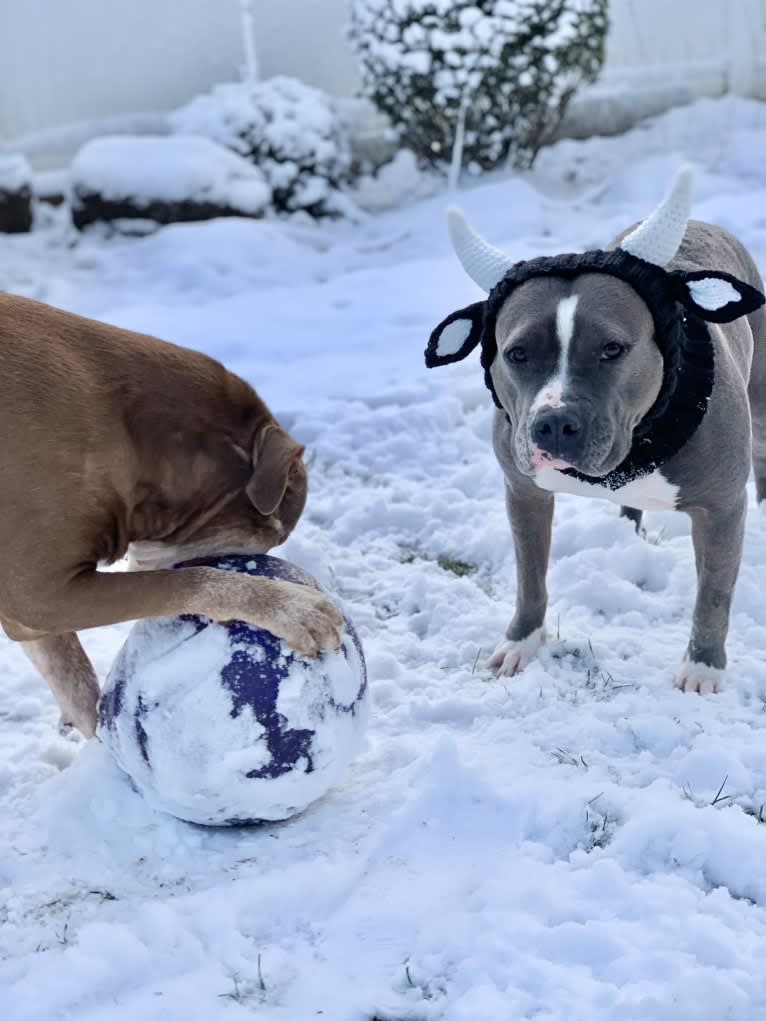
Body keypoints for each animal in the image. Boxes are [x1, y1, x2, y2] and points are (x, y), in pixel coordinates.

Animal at [426, 169, 766, 694]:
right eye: (517, 353)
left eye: (612, 349)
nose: (553, 424)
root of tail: (705, 225)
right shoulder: (523, 492)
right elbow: (530, 577)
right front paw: (521, 642)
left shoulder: (722, 508)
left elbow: (713, 593)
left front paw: (702, 668)